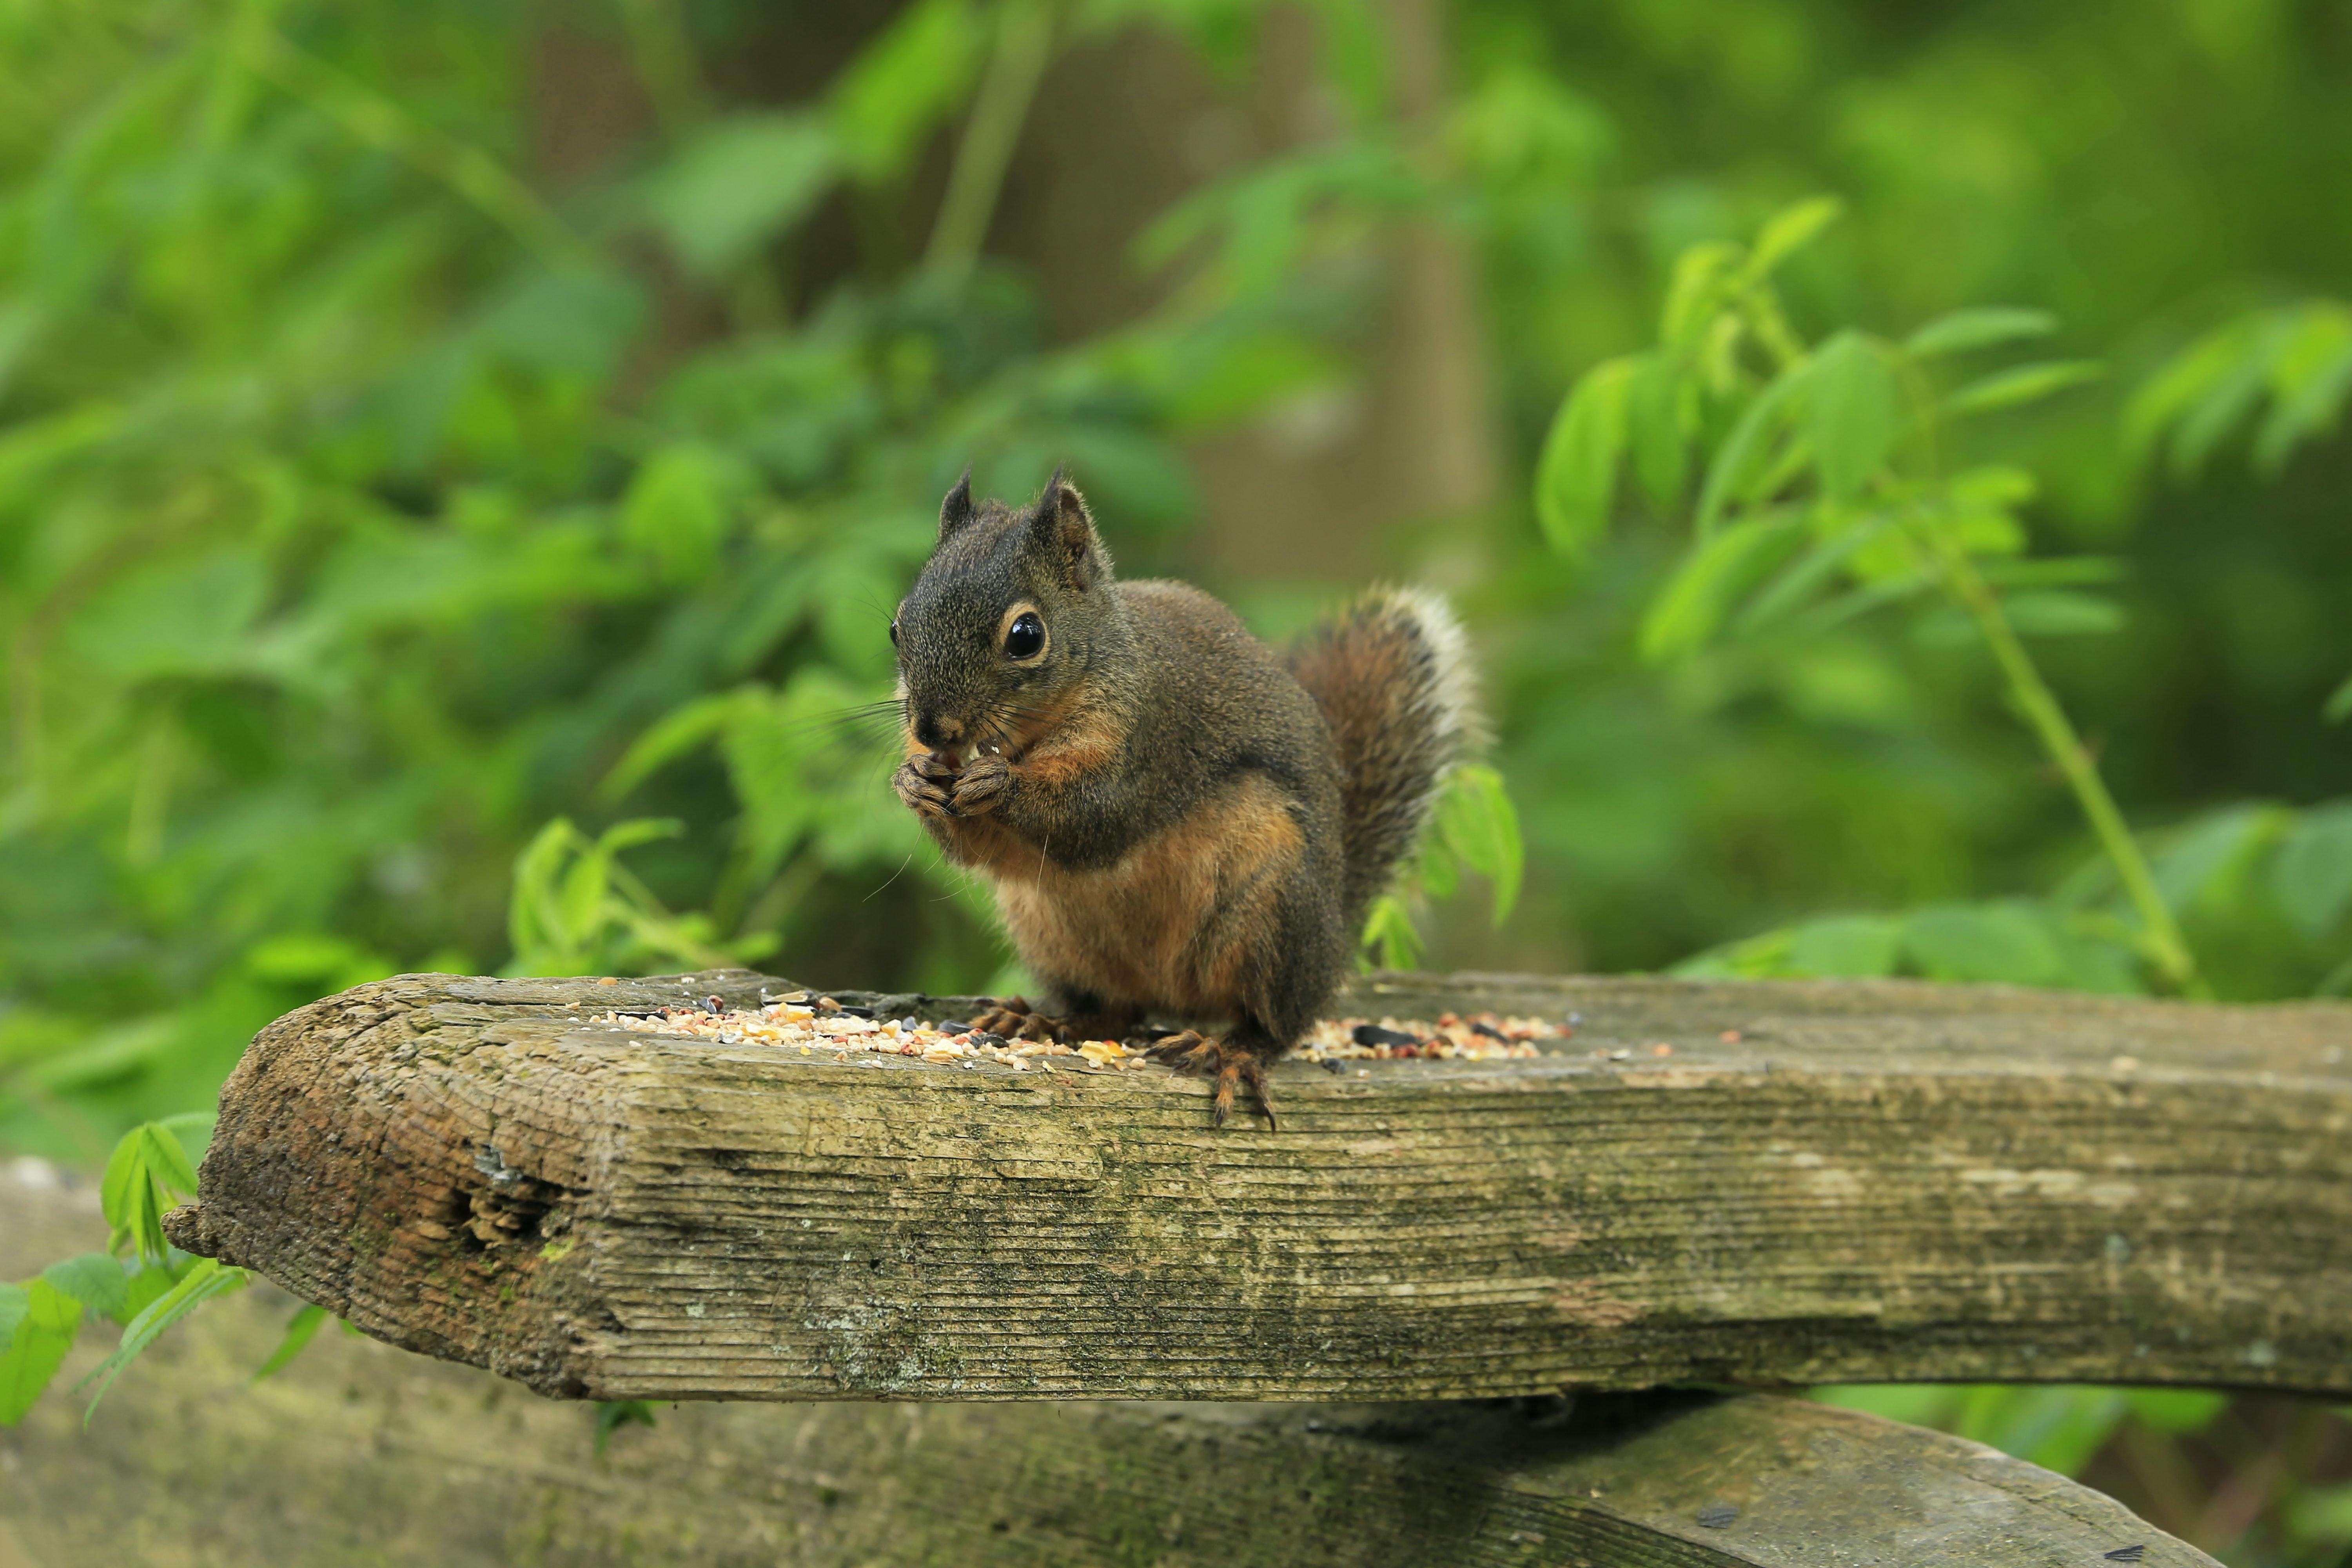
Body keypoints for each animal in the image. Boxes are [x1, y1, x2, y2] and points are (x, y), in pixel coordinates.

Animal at [889, 465, 1477, 1128]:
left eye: (1026, 636)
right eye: (897, 627)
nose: (933, 730)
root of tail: (1333, 933)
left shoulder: (1149, 739)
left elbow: (1096, 818)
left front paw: (1000, 785)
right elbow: (988, 853)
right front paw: (914, 782)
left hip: (1273, 914)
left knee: (1277, 1023)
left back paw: (1231, 1051)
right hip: (1054, 937)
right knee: (1115, 1009)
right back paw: (1043, 1018)